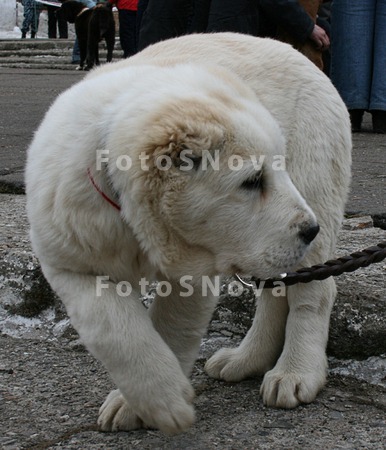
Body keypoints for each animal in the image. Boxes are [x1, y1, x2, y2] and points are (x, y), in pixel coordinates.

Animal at [24, 33, 350, 434]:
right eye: (252, 181)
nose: (309, 228)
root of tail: (306, 60)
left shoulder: (196, 267)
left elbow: (172, 325)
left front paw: (164, 403)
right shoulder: (68, 258)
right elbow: (113, 327)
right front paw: (153, 397)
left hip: (313, 174)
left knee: (313, 290)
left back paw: (294, 373)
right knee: (276, 288)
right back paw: (246, 359)